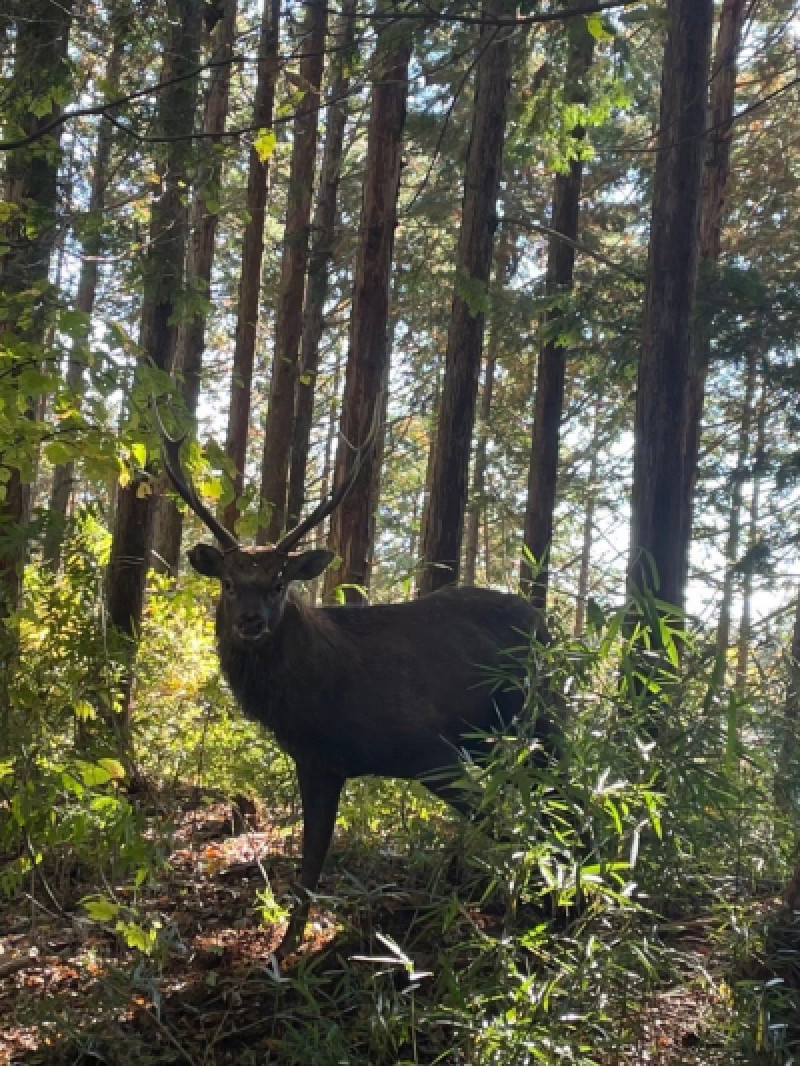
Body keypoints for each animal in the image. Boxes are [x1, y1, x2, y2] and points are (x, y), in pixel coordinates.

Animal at [156, 411, 558, 955]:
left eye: (279, 582)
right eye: (229, 582)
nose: (250, 621)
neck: (318, 703)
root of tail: (546, 624)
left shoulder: (432, 750)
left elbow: (506, 829)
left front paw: (542, 909)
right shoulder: (317, 764)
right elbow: (309, 866)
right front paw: (284, 950)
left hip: (540, 716)